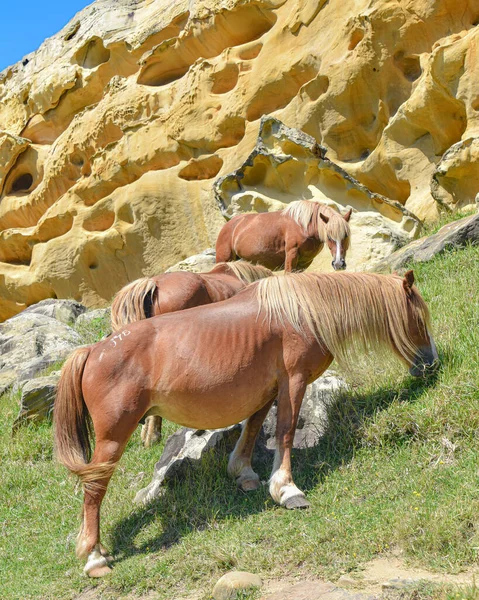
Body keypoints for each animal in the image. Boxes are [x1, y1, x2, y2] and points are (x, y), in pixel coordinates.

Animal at [215, 200, 352, 270]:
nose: (338, 264)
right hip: (224, 259)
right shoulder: (291, 255)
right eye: (329, 236)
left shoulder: (304, 264)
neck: (304, 226)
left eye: (346, 235)